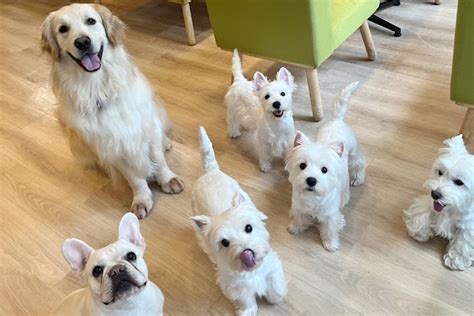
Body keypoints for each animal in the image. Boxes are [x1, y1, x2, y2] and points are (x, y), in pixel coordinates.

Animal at [40, 3, 183, 218]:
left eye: (91, 21)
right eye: (63, 29)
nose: (83, 42)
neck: (98, 88)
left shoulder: (146, 128)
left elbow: (159, 159)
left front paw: (167, 179)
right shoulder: (113, 145)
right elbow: (134, 178)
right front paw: (141, 198)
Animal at [191, 126, 286, 316]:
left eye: (249, 228)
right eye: (225, 242)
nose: (246, 252)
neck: (251, 271)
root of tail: (210, 172)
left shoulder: (270, 266)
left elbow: (274, 284)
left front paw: (275, 296)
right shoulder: (235, 286)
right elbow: (245, 299)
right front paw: (248, 311)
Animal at [284, 81, 364, 252]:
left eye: (324, 170)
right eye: (302, 165)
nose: (311, 180)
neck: (313, 197)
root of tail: (337, 120)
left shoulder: (331, 215)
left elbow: (330, 229)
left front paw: (331, 244)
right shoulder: (298, 207)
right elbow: (299, 217)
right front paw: (295, 228)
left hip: (354, 153)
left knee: (359, 164)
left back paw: (358, 179)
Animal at [404, 135, 474, 270]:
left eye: (459, 182)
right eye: (440, 172)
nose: (435, 194)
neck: (451, 210)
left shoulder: (469, 225)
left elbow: (463, 241)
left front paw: (456, 258)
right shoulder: (430, 203)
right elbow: (421, 213)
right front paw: (419, 232)